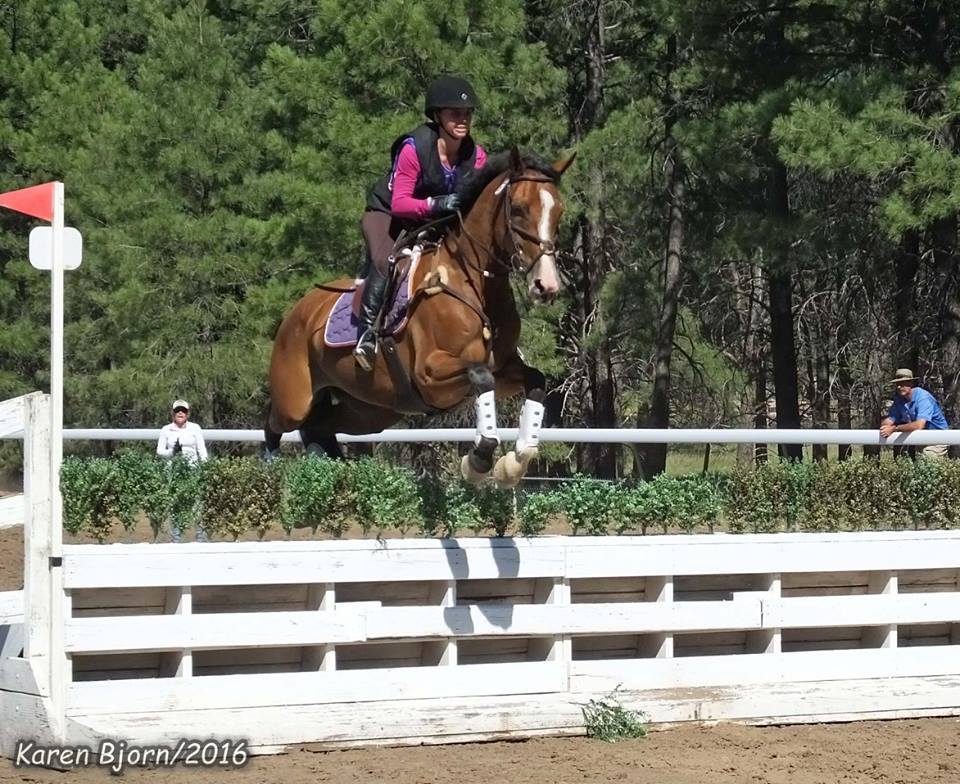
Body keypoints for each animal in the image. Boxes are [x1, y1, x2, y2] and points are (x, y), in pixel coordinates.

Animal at [264, 148, 574, 487]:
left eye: (559, 212)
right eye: (517, 209)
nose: (546, 286)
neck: (470, 283)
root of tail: (297, 313)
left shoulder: (503, 369)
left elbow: (535, 381)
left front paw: (513, 465)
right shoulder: (431, 374)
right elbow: (481, 377)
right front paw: (477, 461)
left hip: (371, 409)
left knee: (319, 427)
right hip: (296, 399)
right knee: (275, 424)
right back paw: (270, 469)